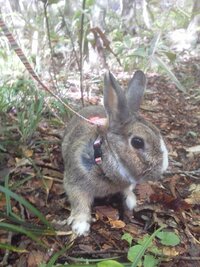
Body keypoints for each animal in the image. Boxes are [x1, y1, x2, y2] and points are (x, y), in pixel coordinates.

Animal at [61, 70, 168, 237]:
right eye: (137, 142)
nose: (162, 170)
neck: (102, 160)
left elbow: (128, 191)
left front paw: (131, 202)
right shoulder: (76, 184)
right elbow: (80, 204)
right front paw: (80, 227)